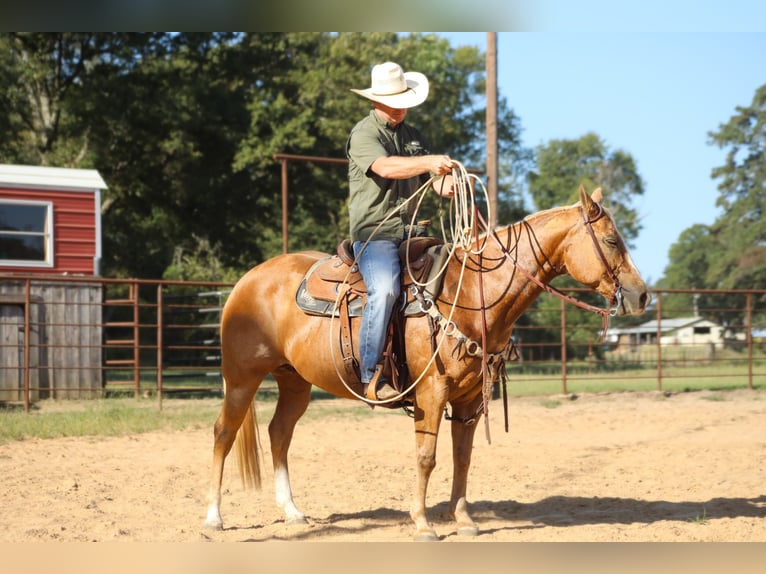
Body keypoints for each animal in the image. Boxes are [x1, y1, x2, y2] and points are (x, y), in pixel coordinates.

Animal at [207, 187, 652, 544]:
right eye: (611, 239)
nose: (642, 295)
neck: (471, 292)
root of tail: (247, 280)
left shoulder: (471, 399)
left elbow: (462, 457)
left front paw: (464, 520)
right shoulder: (431, 393)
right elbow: (426, 456)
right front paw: (422, 523)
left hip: (295, 381)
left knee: (279, 434)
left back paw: (293, 512)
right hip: (242, 378)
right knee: (224, 433)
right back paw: (214, 518)